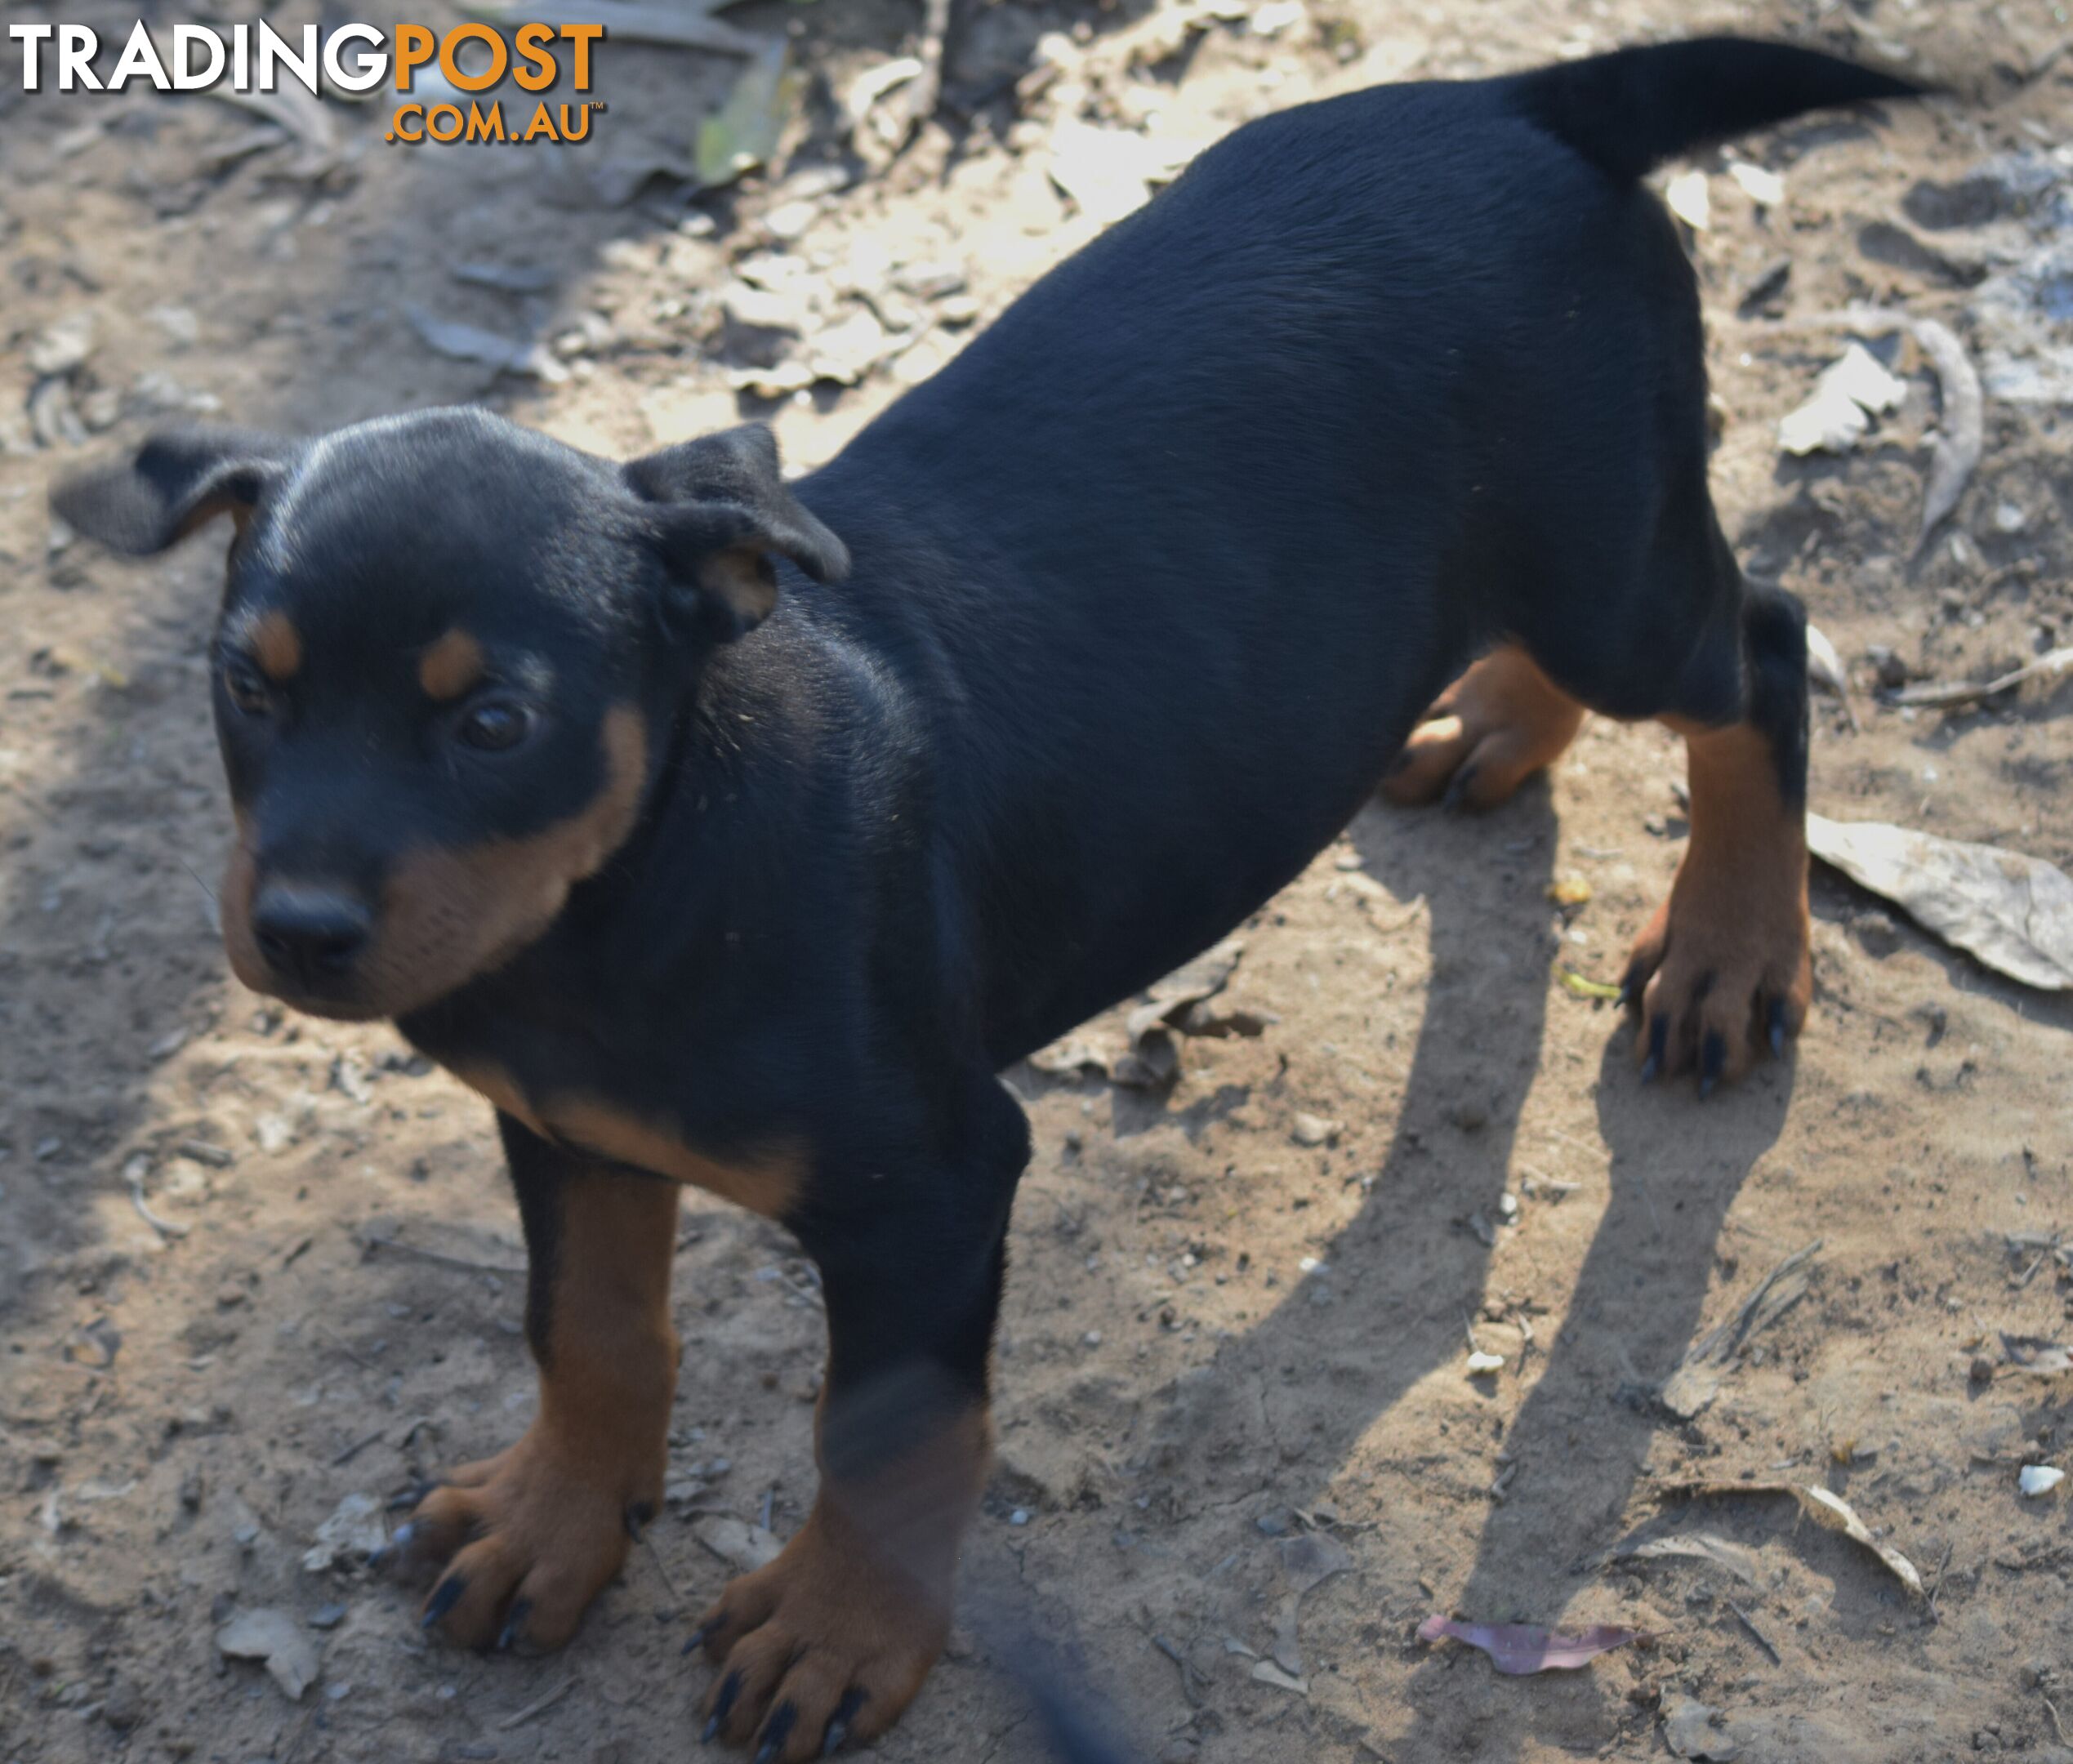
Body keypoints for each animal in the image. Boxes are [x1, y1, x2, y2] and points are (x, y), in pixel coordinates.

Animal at [56, 41, 1915, 1764]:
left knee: (1762, 651)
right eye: (248, 686)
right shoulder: (561, 1131)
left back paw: (1728, 954)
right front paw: (553, 1527)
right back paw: (1494, 727)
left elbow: (887, 1434)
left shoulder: (933, 1183)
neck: (644, 878)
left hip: (1614, 555)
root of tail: (1525, 97)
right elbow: (587, 1332)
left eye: (494, 722)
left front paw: (837, 1635)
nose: (298, 932)